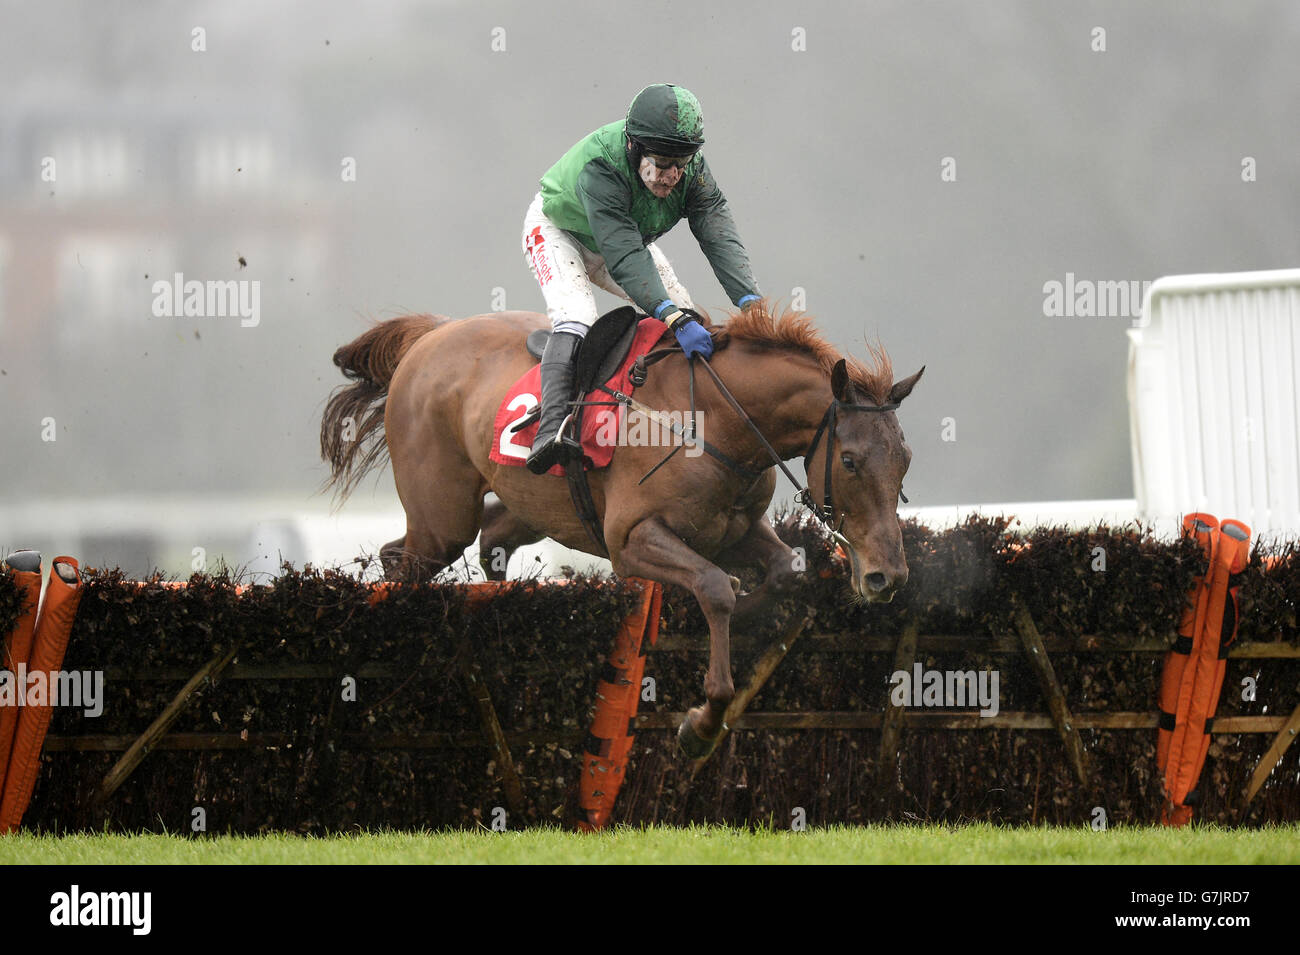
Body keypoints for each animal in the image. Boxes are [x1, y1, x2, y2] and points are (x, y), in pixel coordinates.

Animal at [318, 302, 920, 758]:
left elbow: (783, 572)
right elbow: (714, 588)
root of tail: (429, 337)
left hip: (525, 507)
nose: (886, 577)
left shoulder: (734, 528)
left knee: (490, 540)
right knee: (399, 559)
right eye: (849, 461)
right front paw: (702, 722)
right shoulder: (630, 541)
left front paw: (743, 618)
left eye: (905, 460)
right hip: (441, 520)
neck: (717, 419)